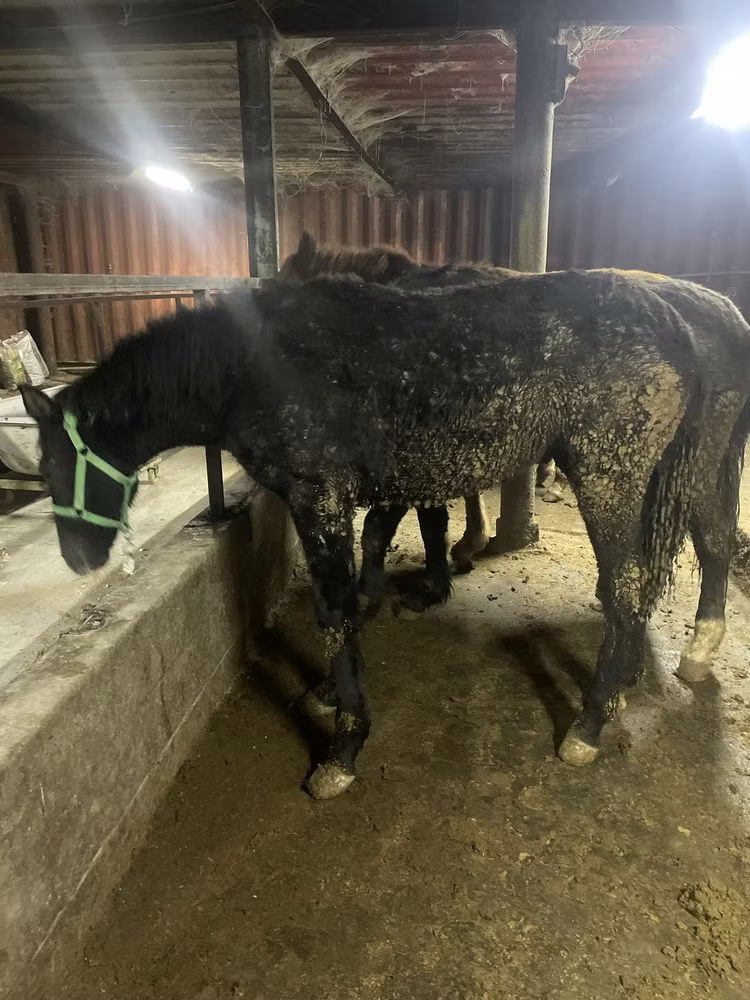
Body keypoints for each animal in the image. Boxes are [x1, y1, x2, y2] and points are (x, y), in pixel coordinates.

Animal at [22, 270, 706, 799]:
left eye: (52, 464)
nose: (77, 559)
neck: (249, 366)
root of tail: (670, 321)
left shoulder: (318, 498)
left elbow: (335, 613)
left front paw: (343, 749)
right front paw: (328, 693)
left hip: (607, 473)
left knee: (625, 586)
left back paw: (589, 725)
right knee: (634, 585)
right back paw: (621, 689)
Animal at [281, 234, 750, 681]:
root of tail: (725, 314)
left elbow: (409, 523)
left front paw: (424, 587)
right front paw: (461, 551)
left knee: (706, 539)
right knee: (713, 537)